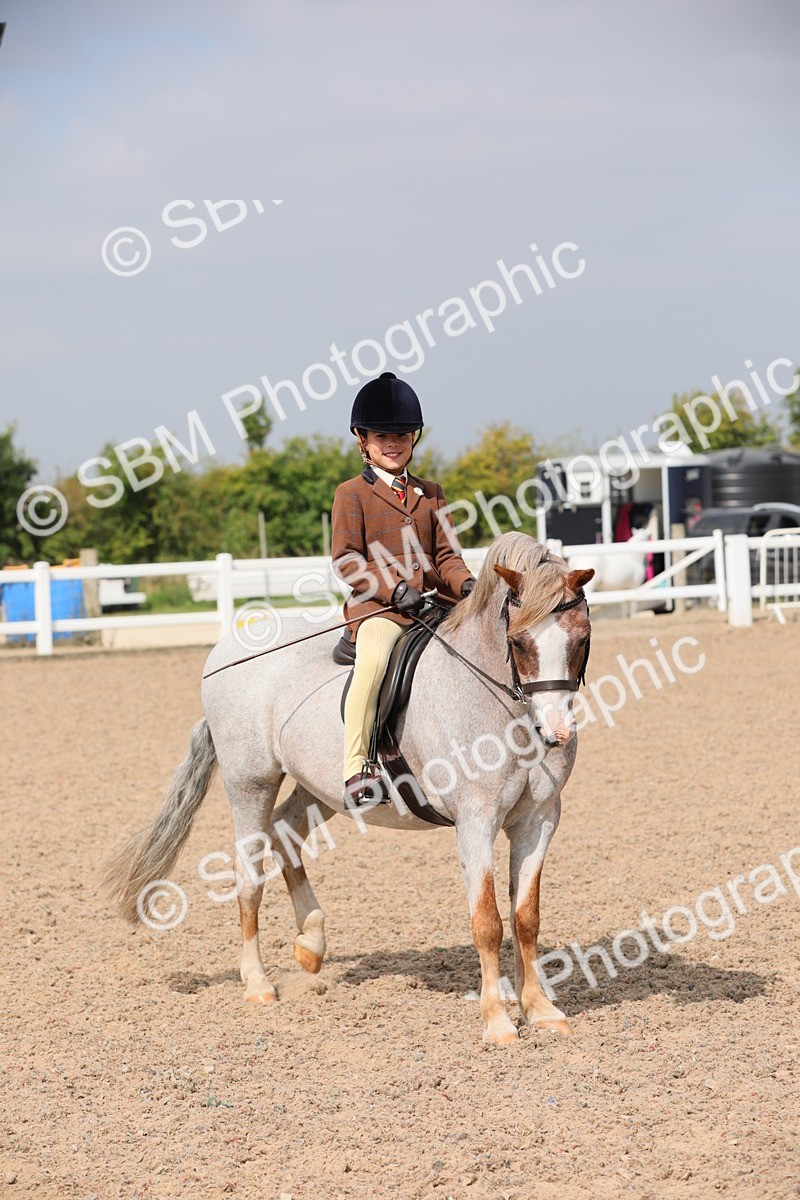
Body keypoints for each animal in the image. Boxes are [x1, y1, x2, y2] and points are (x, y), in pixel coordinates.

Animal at [105, 532, 594, 1045]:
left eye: (581, 639)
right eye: (518, 641)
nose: (556, 732)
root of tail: (224, 653)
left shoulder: (537, 821)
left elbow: (526, 918)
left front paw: (540, 1009)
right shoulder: (475, 821)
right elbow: (487, 922)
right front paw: (498, 1021)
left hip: (321, 788)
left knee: (285, 831)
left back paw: (311, 944)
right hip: (250, 782)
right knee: (249, 870)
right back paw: (257, 984)